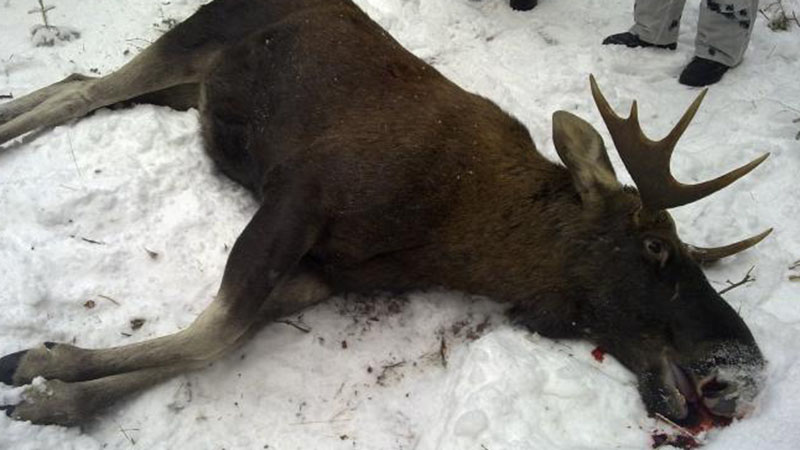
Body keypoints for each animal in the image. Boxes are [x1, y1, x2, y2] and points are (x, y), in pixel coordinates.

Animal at [0, 0, 771, 432]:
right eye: (655, 246)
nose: (747, 365)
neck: (456, 236)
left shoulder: (331, 273)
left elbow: (225, 336)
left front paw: (51, 381)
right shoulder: (300, 192)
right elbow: (215, 332)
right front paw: (42, 372)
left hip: (188, 91)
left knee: (77, 81)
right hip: (190, 41)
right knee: (80, 92)